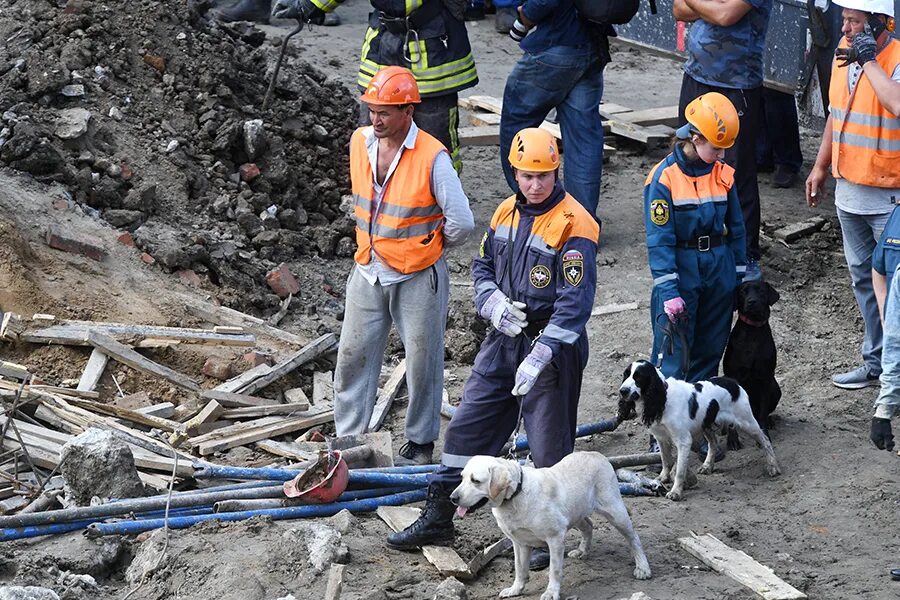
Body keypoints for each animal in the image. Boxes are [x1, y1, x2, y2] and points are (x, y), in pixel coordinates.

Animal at [450, 452, 652, 596]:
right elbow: (519, 569)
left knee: (634, 538)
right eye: (462, 477)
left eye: (475, 481)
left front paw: (551, 593)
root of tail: (599, 455)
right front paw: (515, 590)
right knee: (588, 525)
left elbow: (554, 570)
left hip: (615, 512)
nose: (452, 497)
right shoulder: (519, 543)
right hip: (575, 513)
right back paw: (582, 550)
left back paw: (643, 568)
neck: (516, 495)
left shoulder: (555, 538)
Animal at [620, 360, 780, 502]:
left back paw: (773, 467)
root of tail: (733, 382)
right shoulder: (661, 437)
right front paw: (662, 478)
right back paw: (707, 466)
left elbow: (679, 471)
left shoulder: (683, 440)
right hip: (706, 424)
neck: (662, 399)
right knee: (713, 442)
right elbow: (665, 460)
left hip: (747, 422)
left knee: (765, 439)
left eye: (638, 377)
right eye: (626, 374)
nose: (622, 391)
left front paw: (675, 492)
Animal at [724, 278, 780, 442]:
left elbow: (763, 413)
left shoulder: (766, 378)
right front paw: (732, 440)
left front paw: (764, 434)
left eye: (761, 291)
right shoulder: (734, 375)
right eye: (743, 291)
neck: (753, 331)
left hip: (775, 388)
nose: (752, 302)